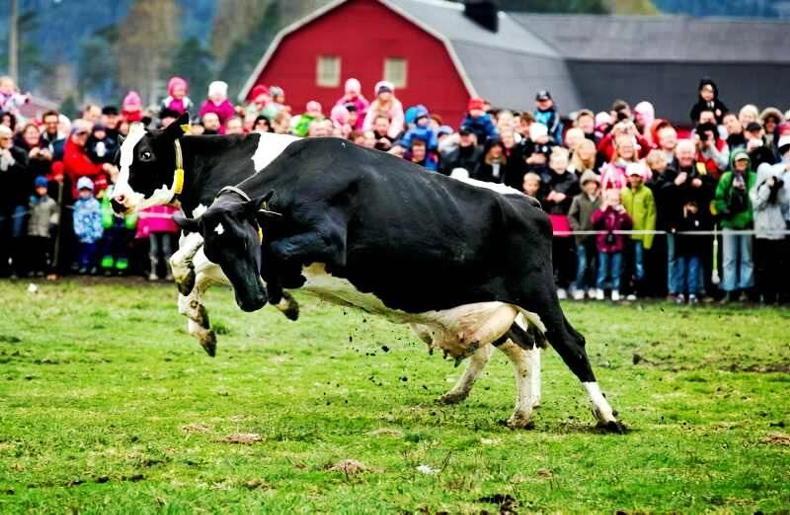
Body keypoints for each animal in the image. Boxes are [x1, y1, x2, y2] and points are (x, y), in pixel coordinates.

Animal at [111, 114, 542, 427]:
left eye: (144, 156)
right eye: (117, 159)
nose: (116, 200)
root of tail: (524, 197)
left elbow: (192, 271)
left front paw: (206, 323)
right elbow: (183, 264)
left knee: (522, 343)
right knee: (518, 343)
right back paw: (489, 398)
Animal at [177, 137, 625, 432]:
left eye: (245, 240)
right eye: (221, 246)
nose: (251, 298)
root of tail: (527, 201)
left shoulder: (329, 242)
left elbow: (264, 255)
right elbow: (196, 262)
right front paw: (204, 309)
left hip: (538, 292)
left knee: (570, 343)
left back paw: (607, 417)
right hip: (495, 306)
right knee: (524, 346)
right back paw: (519, 413)